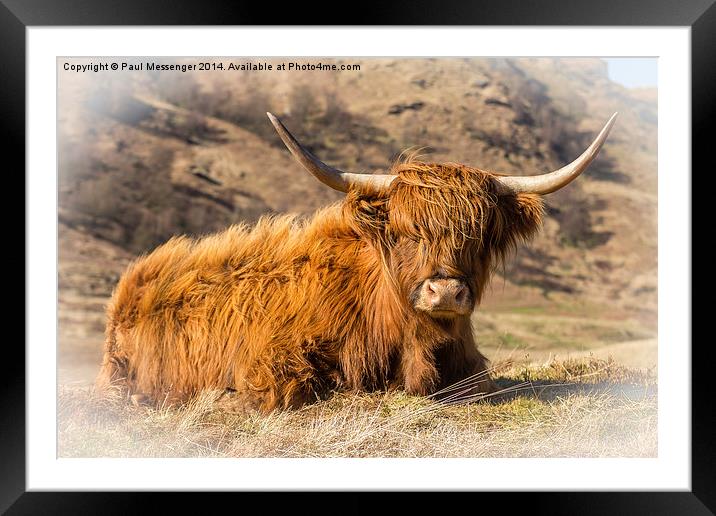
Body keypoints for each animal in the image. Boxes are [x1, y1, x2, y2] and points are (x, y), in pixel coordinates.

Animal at [95, 112, 620, 412]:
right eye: (407, 232)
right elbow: (305, 389)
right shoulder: (270, 363)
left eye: (477, 235)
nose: (447, 292)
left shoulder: (470, 368)